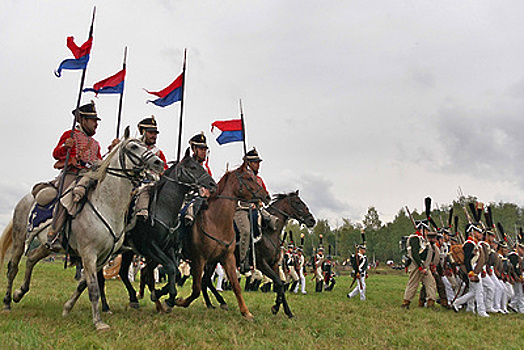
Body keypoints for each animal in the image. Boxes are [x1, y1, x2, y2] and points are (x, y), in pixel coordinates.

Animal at [0, 129, 164, 330]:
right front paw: (98, 322)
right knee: (13, 268)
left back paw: (19, 293)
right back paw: (7, 302)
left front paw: (67, 308)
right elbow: (93, 287)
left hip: (47, 245)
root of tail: (25, 199)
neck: (106, 205)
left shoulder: (103, 257)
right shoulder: (88, 254)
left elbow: (83, 284)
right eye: (133, 147)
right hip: (19, 239)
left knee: (31, 258)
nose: (158, 163)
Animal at [96, 149, 217, 314]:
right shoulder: (150, 247)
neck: (163, 209)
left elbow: (176, 271)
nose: (212, 184)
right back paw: (105, 305)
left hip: (128, 251)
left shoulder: (170, 248)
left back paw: (134, 299)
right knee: (101, 276)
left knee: (123, 272)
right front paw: (168, 299)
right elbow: (171, 268)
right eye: (193, 167)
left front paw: (164, 296)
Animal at [172, 162, 270, 320]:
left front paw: (246, 312)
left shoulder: (227, 258)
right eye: (249, 178)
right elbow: (196, 289)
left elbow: (236, 286)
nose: (266, 196)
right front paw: (179, 301)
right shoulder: (199, 259)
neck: (216, 221)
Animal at [201, 190, 316, 318]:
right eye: (297, 202)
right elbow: (279, 283)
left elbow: (279, 284)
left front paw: (286, 311)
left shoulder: (274, 264)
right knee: (206, 280)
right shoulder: (262, 264)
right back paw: (220, 302)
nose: (312, 220)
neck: (269, 231)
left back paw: (211, 304)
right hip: (212, 262)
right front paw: (276, 307)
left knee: (205, 281)